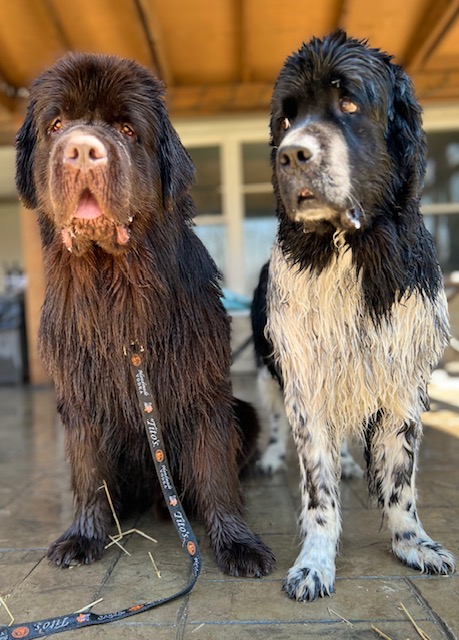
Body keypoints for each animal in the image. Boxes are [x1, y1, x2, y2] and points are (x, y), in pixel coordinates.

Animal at [14, 52, 274, 576]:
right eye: (57, 125)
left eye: (126, 129)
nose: (83, 150)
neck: (118, 294)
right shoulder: (80, 398)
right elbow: (89, 473)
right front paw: (84, 535)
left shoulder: (202, 389)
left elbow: (215, 472)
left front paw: (236, 542)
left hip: (247, 413)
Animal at [252, 30, 456, 600]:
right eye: (285, 119)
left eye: (348, 104)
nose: (291, 155)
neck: (350, 250)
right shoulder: (306, 379)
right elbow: (317, 489)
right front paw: (314, 563)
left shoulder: (402, 381)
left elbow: (400, 480)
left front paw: (413, 543)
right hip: (269, 373)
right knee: (275, 424)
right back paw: (273, 457)